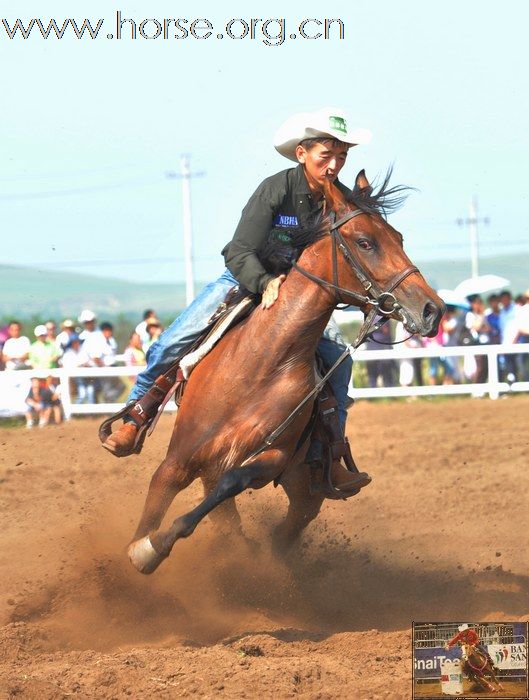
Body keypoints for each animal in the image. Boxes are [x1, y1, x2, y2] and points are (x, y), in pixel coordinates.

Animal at [127, 171, 442, 576]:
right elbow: (158, 500)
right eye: (366, 242)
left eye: (398, 237)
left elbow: (231, 482)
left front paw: (154, 547)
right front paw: (143, 548)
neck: (260, 363)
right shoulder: (180, 458)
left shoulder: (272, 455)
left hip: (307, 491)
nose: (433, 309)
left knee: (281, 526)